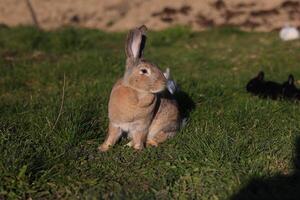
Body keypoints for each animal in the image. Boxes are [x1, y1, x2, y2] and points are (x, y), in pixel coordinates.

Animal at [98, 24, 179, 152]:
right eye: (144, 71)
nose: (164, 83)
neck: (136, 91)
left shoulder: (141, 126)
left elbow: (139, 138)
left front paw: (137, 149)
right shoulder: (115, 123)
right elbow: (111, 137)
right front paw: (103, 148)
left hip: (162, 128)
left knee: (156, 138)